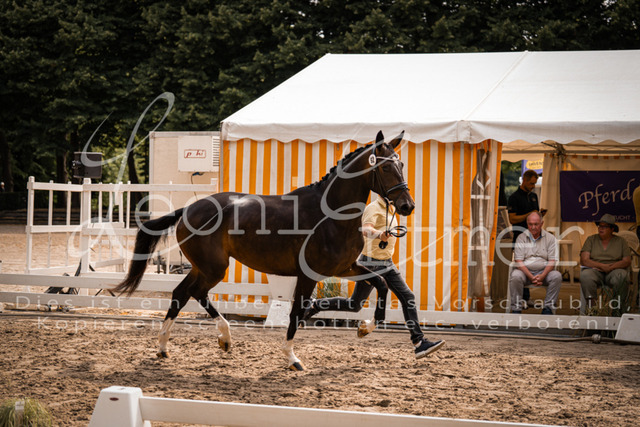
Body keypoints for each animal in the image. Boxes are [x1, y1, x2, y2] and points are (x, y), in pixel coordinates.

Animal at [113, 130, 415, 370]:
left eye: (401, 164)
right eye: (386, 169)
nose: (407, 206)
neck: (331, 216)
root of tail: (188, 209)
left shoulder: (345, 267)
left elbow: (381, 283)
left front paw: (365, 328)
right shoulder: (309, 275)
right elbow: (296, 312)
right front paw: (292, 358)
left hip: (203, 267)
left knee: (180, 294)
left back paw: (166, 348)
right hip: (214, 268)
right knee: (195, 293)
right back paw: (224, 338)